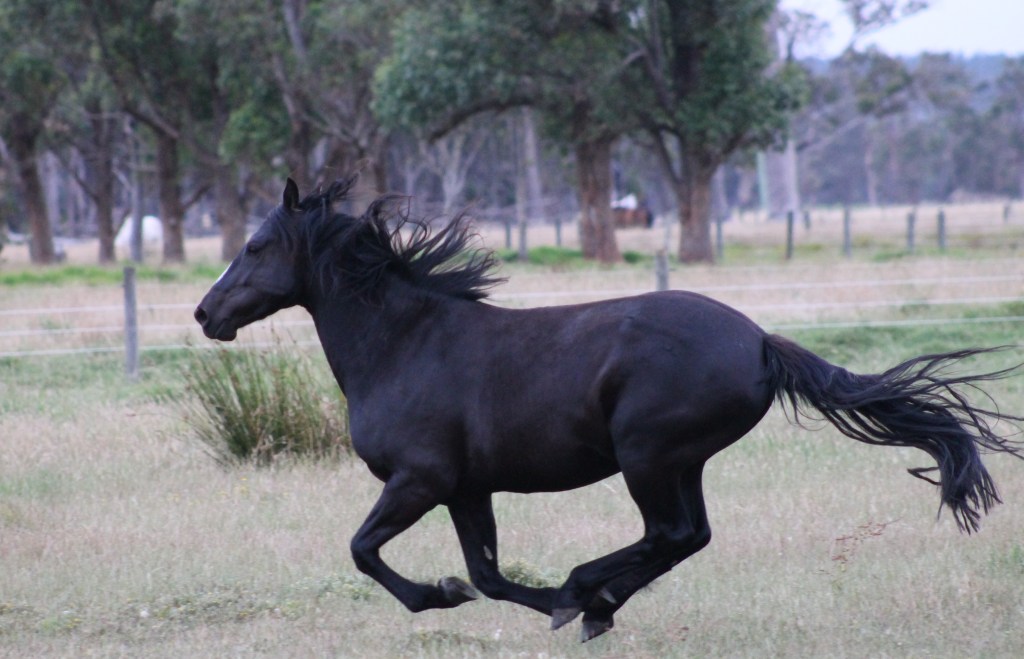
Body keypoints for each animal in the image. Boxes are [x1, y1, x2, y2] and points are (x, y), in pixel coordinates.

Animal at [195, 176, 1023, 642]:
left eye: (257, 244)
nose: (207, 313)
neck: (405, 343)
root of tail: (759, 341)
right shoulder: (466, 488)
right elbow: (489, 573)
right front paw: (504, 596)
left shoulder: (418, 480)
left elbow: (365, 551)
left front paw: (447, 595)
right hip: (679, 461)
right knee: (688, 535)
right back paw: (596, 601)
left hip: (647, 456)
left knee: (669, 533)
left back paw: (586, 592)